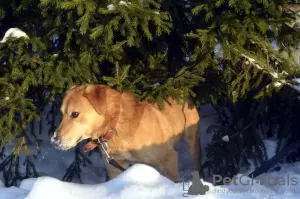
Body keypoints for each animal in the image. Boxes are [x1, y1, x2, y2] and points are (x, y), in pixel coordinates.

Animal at [51, 84, 202, 182]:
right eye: (61, 114)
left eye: (75, 114)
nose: (54, 140)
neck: (115, 126)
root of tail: (181, 89)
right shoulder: (116, 166)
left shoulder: (169, 158)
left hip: (192, 141)